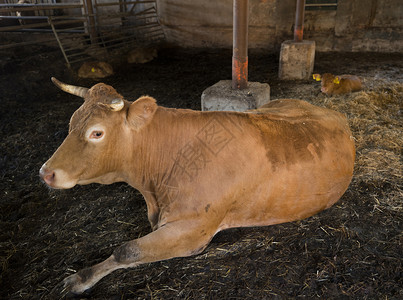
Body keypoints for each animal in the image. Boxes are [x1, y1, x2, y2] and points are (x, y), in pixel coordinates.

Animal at [40, 78, 356, 296]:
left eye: (97, 133)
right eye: (71, 123)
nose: (45, 172)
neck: (155, 188)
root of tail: (334, 113)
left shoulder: (194, 230)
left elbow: (126, 251)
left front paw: (80, 279)